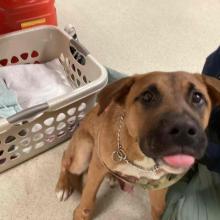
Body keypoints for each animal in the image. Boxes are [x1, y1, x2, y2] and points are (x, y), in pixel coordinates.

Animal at [55, 71, 220, 219]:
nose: (183, 131)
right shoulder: (97, 165)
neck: (143, 159)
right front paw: (81, 213)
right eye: (147, 97)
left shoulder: (159, 185)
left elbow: (158, 208)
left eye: (197, 97)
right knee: (65, 160)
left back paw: (112, 176)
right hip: (83, 154)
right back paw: (63, 186)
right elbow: (88, 198)